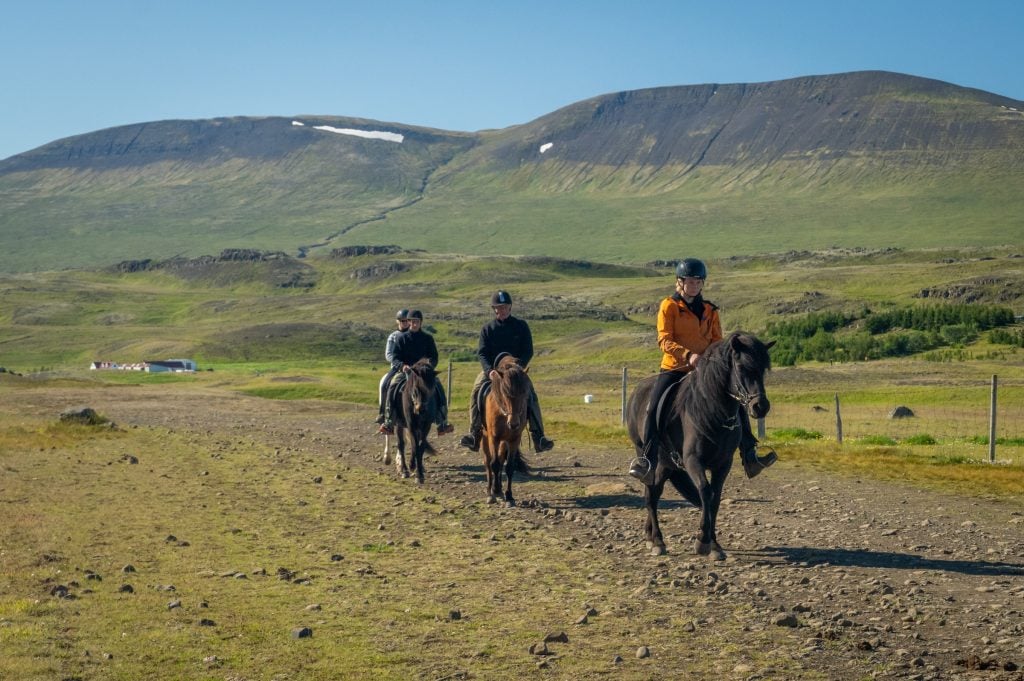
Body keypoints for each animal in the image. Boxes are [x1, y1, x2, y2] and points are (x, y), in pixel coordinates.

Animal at [479, 350, 528, 503]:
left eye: (524, 392)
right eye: (505, 392)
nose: (514, 424)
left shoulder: (513, 439)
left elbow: (509, 466)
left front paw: (509, 495)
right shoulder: (494, 438)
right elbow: (493, 464)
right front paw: (494, 492)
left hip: (503, 442)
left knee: (500, 461)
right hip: (485, 437)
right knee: (488, 462)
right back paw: (490, 491)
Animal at [622, 329, 774, 557]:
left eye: (763, 369)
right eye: (742, 367)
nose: (760, 407)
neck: (712, 412)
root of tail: (637, 391)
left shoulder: (723, 464)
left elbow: (715, 498)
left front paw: (714, 545)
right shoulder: (693, 461)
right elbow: (704, 491)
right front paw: (702, 541)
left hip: (666, 465)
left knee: (654, 491)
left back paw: (650, 536)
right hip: (647, 457)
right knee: (651, 494)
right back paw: (657, 541)